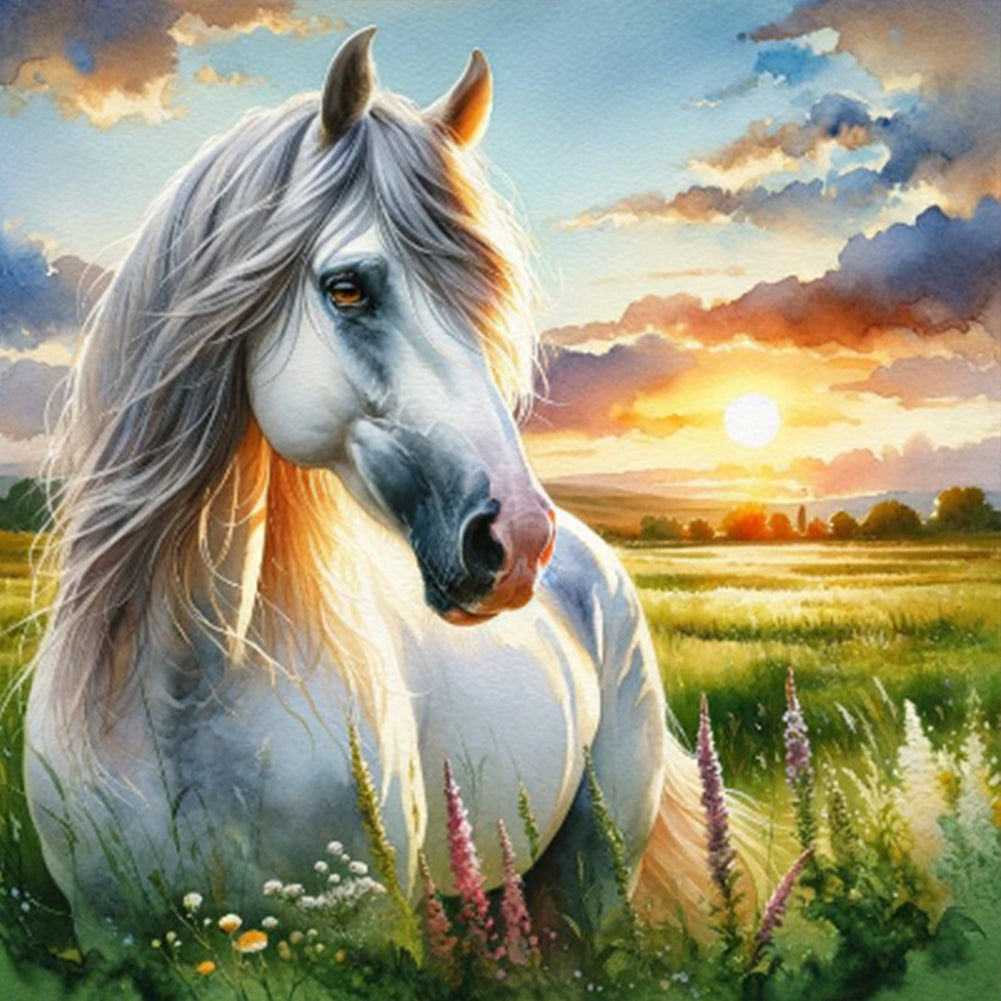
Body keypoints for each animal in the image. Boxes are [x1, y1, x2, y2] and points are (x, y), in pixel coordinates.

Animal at [25, 28, 755, 952]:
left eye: (484, 301)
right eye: (348, 287)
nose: (517, 539)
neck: (182, 690)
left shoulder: (366, 930)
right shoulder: (110, 935)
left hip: (590, 876)